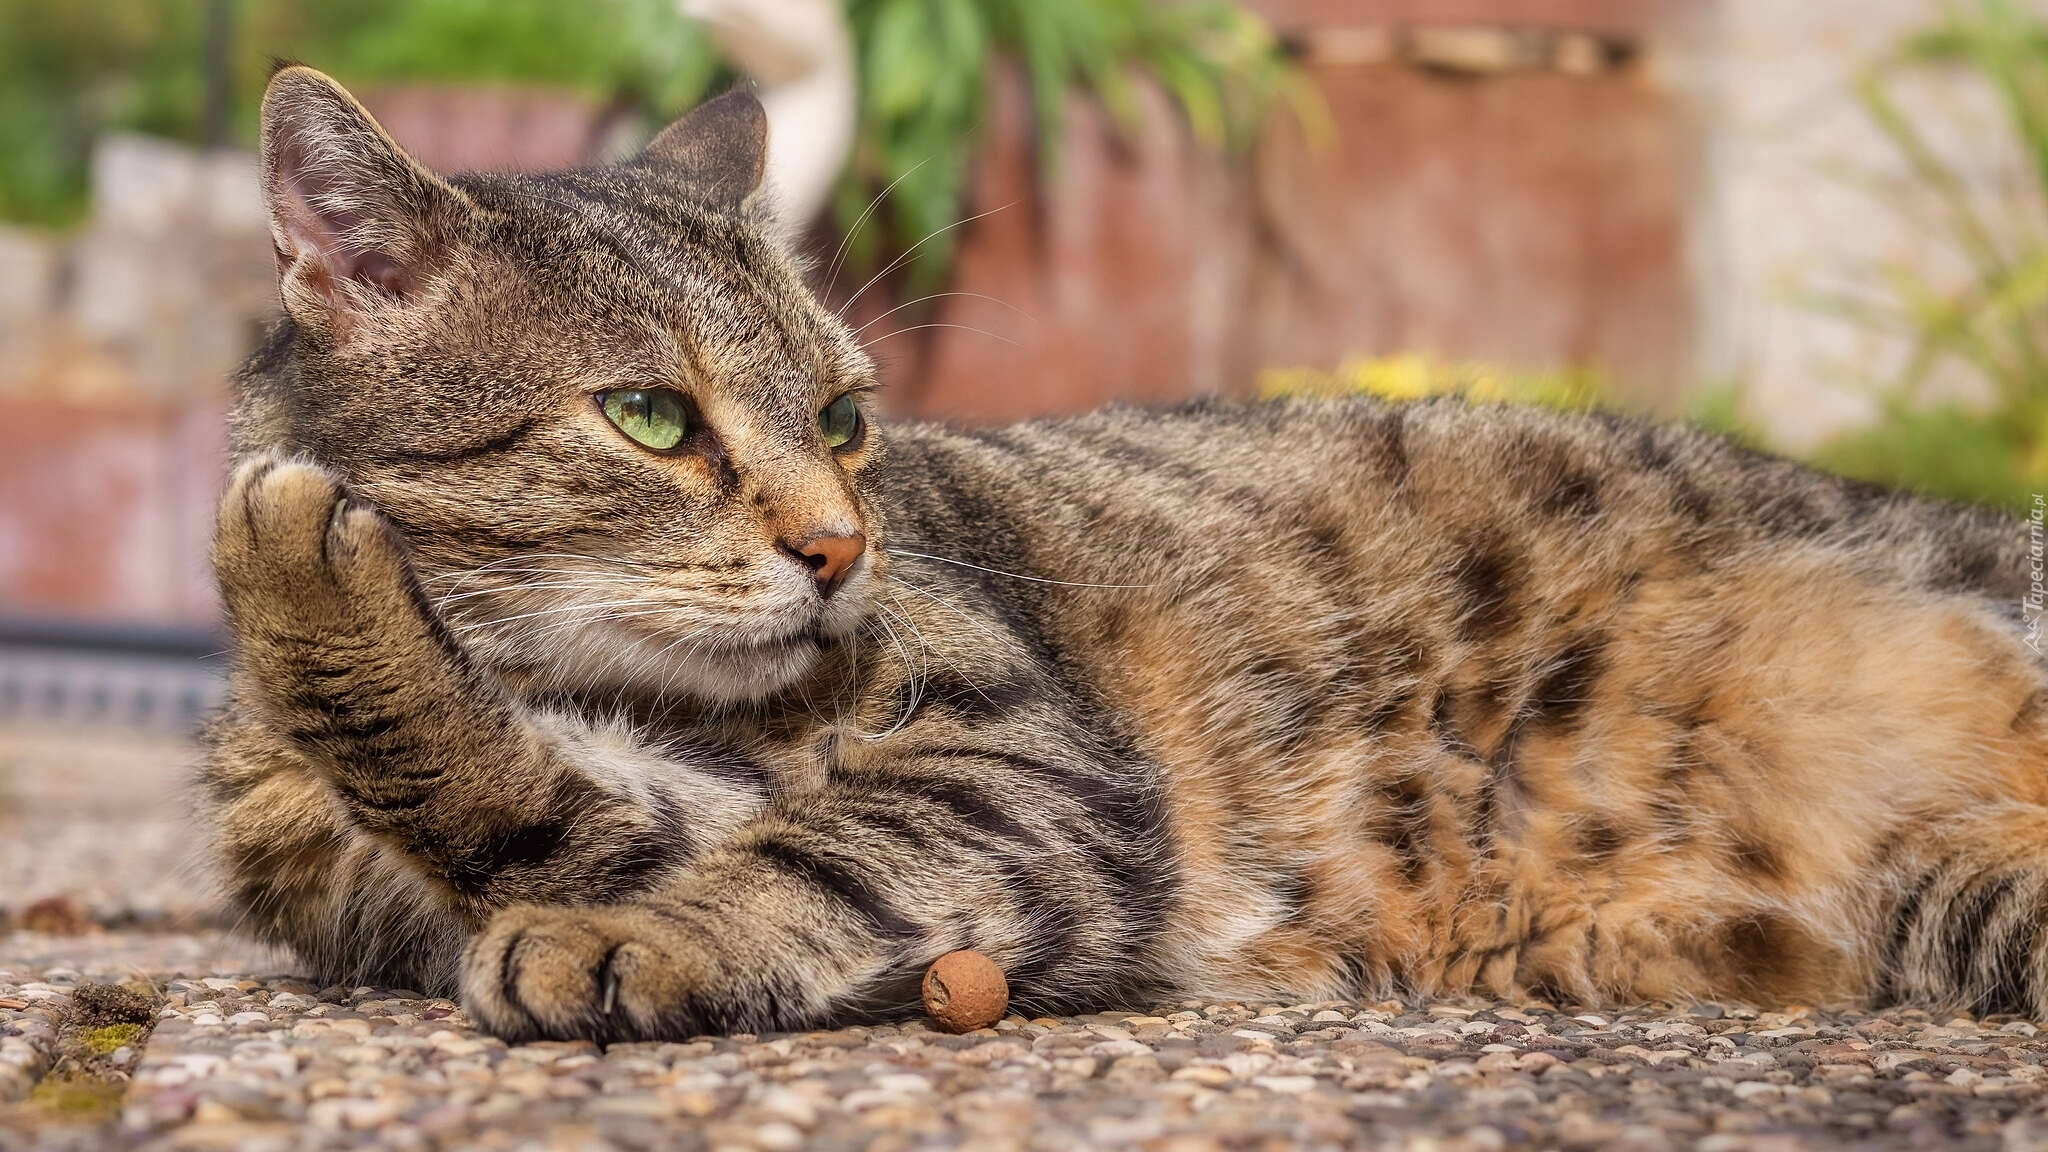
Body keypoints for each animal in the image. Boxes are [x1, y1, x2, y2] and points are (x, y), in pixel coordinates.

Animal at [203, 69, 2048, 1041]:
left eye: (846, 416)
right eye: (653, 418)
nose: (839, 547)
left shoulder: (1018, 756)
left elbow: (819, 856)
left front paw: (632, 941)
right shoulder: (525, 824)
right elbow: (532, 802)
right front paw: (331, 612)